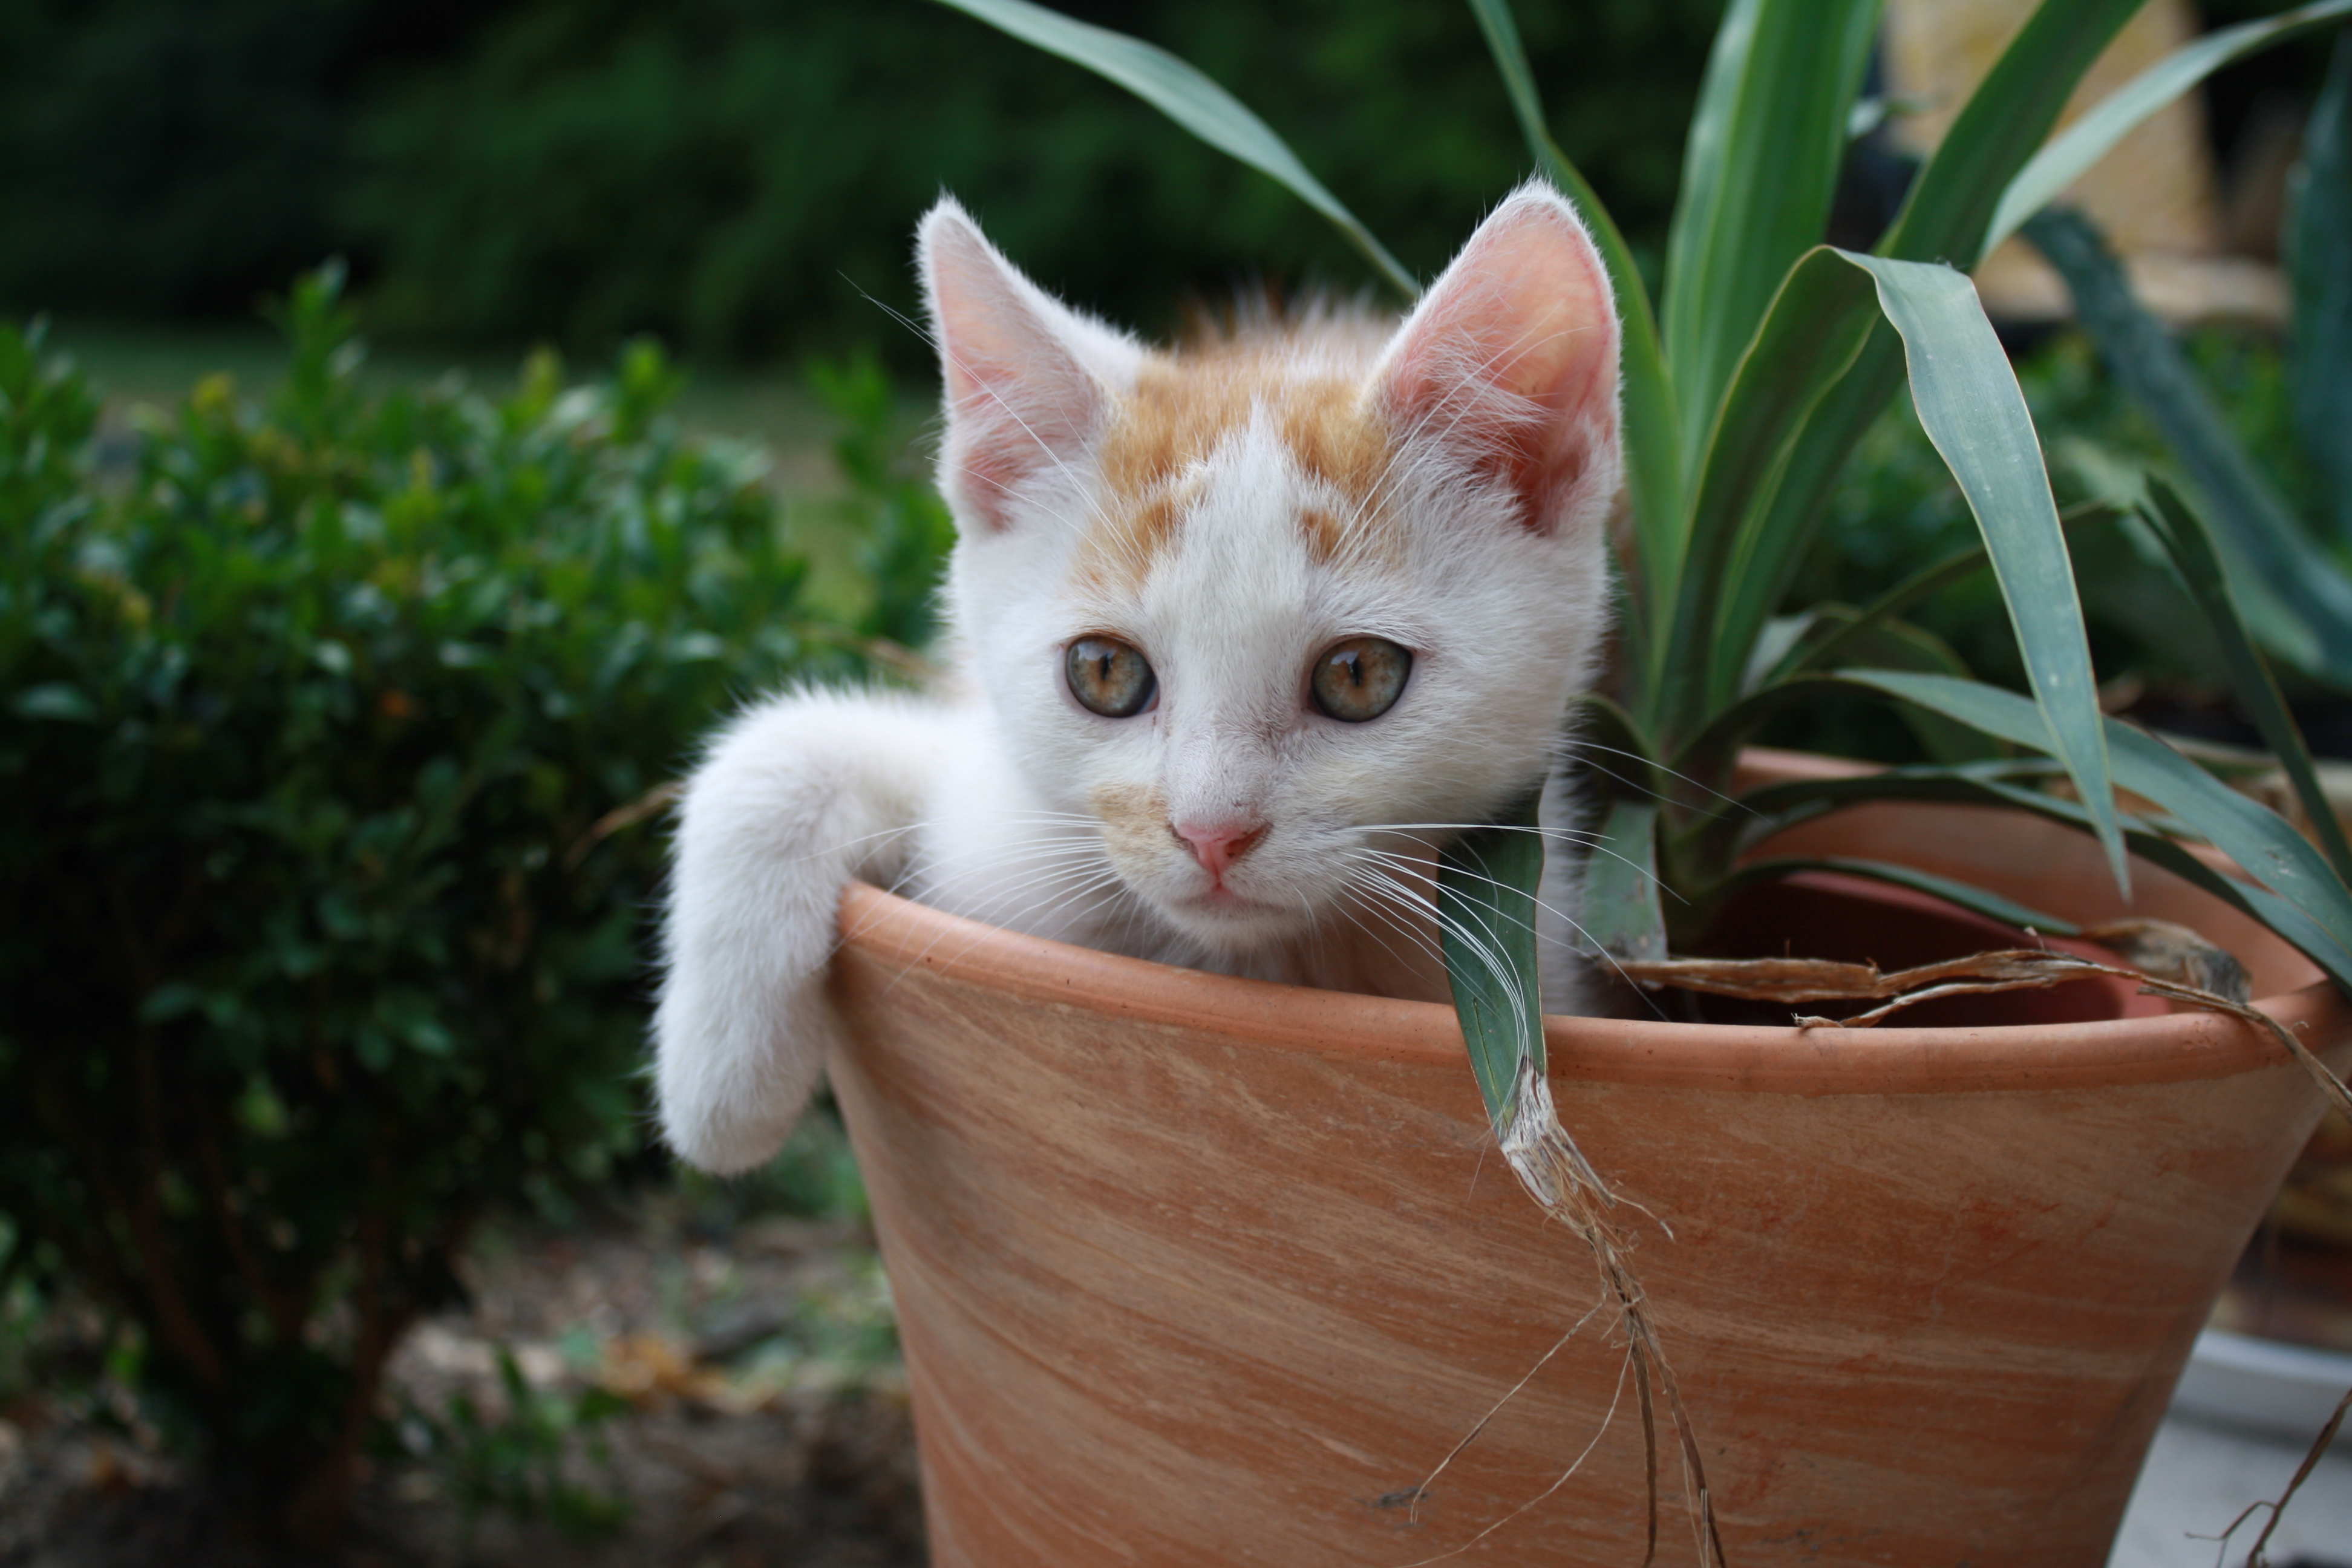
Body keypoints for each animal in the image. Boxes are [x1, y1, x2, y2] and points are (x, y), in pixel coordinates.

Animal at [653, 185, 1627, 1171]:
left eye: (1359, 675)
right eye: (1105, 671)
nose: (1210, 834)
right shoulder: (994, 821)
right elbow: (786, 747)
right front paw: (724, 1083)